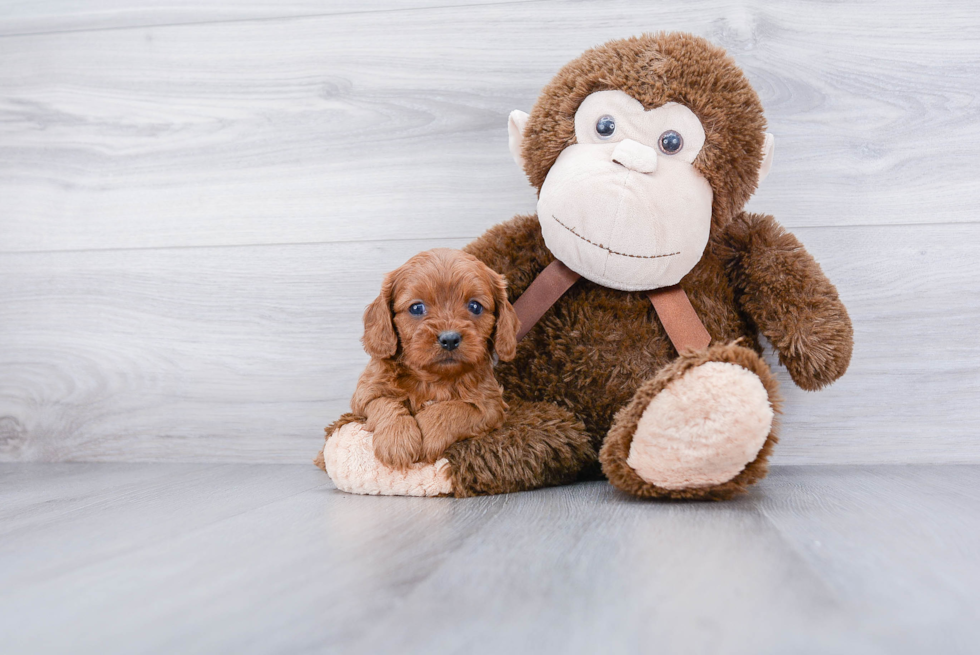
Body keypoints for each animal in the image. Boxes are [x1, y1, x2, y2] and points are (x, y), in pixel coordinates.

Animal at [352, 249, 520, 468]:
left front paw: (428, 429)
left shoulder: (492, 406)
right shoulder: (365, 393)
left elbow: (455, 409)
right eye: (416, 308)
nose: (449, 339)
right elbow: (384, 402)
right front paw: (397, 440)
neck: (433, 378)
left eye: (475, 306)